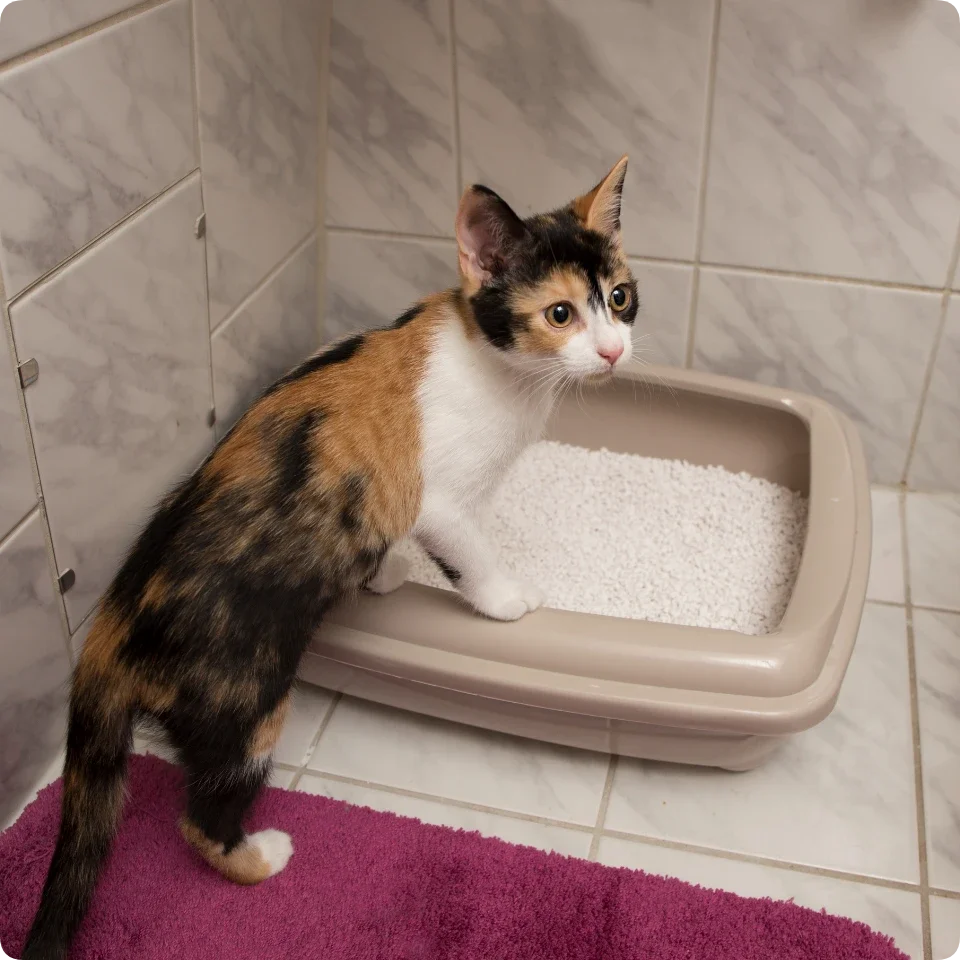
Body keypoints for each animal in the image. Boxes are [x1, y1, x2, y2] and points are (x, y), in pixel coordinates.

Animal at [22, 155, 637, 959]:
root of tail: (109, 628)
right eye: (560, 314)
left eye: (620, 298)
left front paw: (382, 574)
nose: (614, 351)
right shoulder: (439, 501)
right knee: (200, 813)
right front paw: (507, 600)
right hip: (241, 704)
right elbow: (469, 549)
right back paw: (257, 854)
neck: (495, 364)